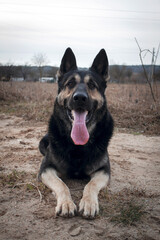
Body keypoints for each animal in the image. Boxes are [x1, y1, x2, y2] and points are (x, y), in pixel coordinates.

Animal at [38, 47, 114, 218]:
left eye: (92, 85)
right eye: (70, 83)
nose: (80, 98)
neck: (78, 145)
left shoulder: (104, 170)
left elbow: (91, 184)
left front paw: (89, 203)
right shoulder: (45, 168)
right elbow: (61, 184)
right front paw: (66, 203)